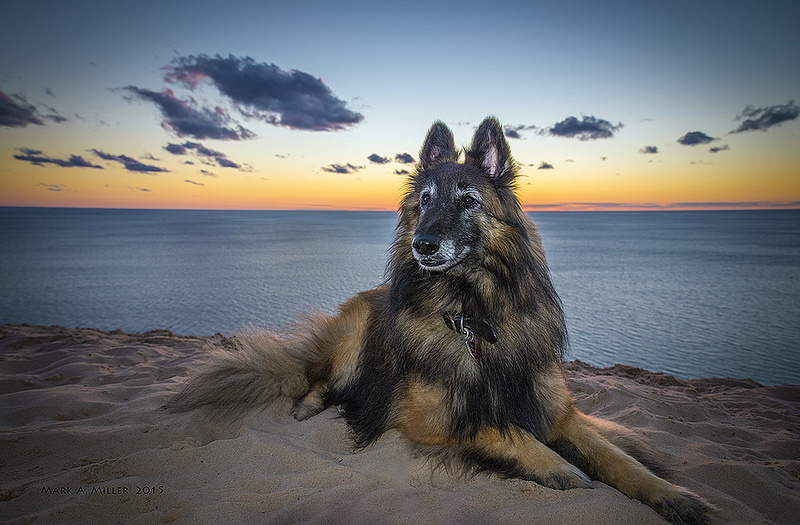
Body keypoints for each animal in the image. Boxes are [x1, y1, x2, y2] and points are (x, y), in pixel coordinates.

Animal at [170, 116, 712, 520]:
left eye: (467, 200)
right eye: (425, 199)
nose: (422, 245)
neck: (474, 314)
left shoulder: (558, 411)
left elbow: (620, 459)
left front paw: (674, 495)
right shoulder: (424, 416)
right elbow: (498, 427)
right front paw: (557, 466)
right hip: (355, 331)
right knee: (317, 378)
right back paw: (309, 405)